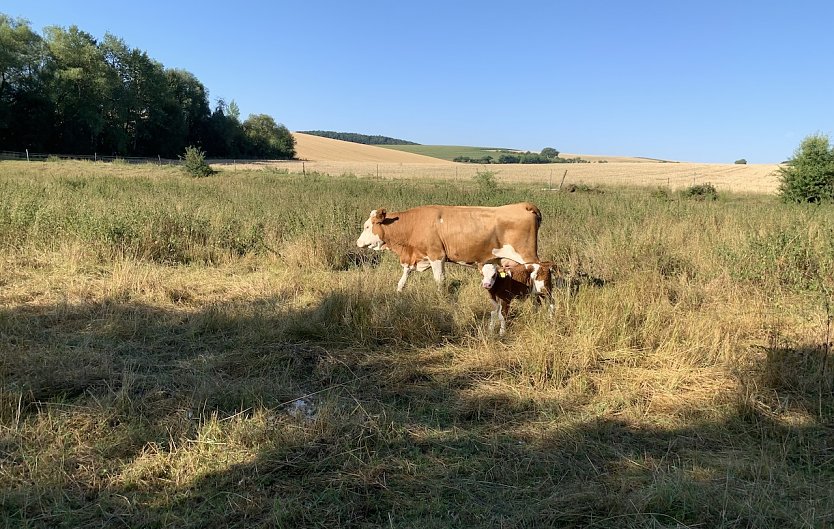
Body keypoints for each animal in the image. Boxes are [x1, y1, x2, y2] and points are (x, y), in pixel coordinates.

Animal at [356, 203, 540, 292]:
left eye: (367, 226)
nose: (357, 243)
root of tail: (523, 205)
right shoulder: (415, 255)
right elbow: (405, 275)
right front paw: (399, 291)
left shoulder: (437, 255)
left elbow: (440, 279)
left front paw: (441, 298)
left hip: (527, 256)